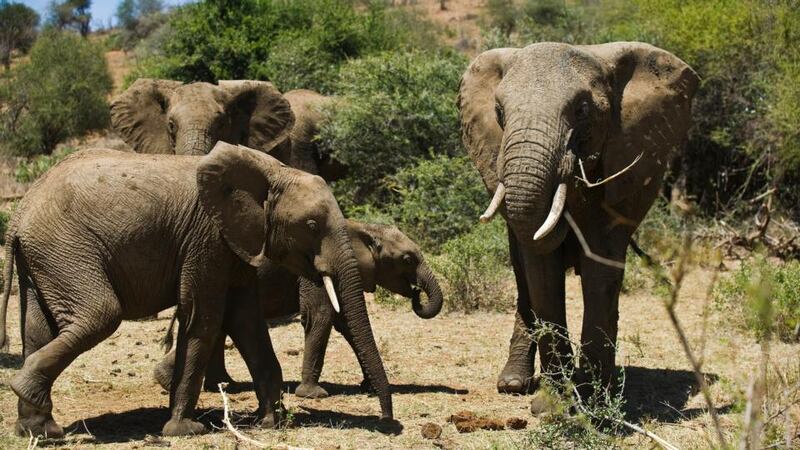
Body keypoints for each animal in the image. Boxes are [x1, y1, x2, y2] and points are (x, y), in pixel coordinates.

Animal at [0, 142, 393, 438]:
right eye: (311, 225)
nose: (387, 421)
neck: (269, 171)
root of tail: (19, 214)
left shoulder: (237, 240)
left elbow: (245, 321)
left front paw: (271, 422)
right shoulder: (206, 236)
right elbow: (204, 318)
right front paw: (184, 430)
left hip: (45, 259)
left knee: (37, 329)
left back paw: (39, 429)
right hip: (65, 249)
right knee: (100, 314)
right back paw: (25, 391)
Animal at [153, 220, 444, 399]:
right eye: (408, 259)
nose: (417, 294)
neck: (361, 226)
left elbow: (347, 324)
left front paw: (369, 387)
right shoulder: (316, 271)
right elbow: (321, 317)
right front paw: (314, 395)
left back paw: (222, 385)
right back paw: (171, 382)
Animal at [458, 42, 698, 394]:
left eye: (582, 110)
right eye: (499, 112)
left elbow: (601, 265)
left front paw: (593, 391)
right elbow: (541, 270)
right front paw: (559, 390)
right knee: (522, 274)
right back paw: (513, 383)